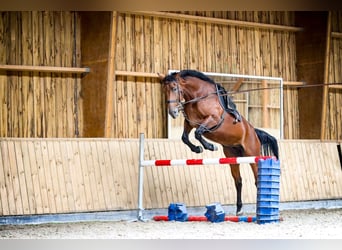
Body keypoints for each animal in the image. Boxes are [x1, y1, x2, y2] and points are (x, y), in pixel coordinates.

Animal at [158, 70, 278, 215]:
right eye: (164, 90)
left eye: (174, 88)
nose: (173, 112)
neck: (199, 96)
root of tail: (253, 131)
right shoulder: (190, 123)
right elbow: (185, 137)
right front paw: (197, 149)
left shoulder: (212, 119)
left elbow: (198, 133)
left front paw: (210, 146)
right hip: (232, 156)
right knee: (238, 181)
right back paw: (239, 209)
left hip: (252, 155)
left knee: (256, 181)